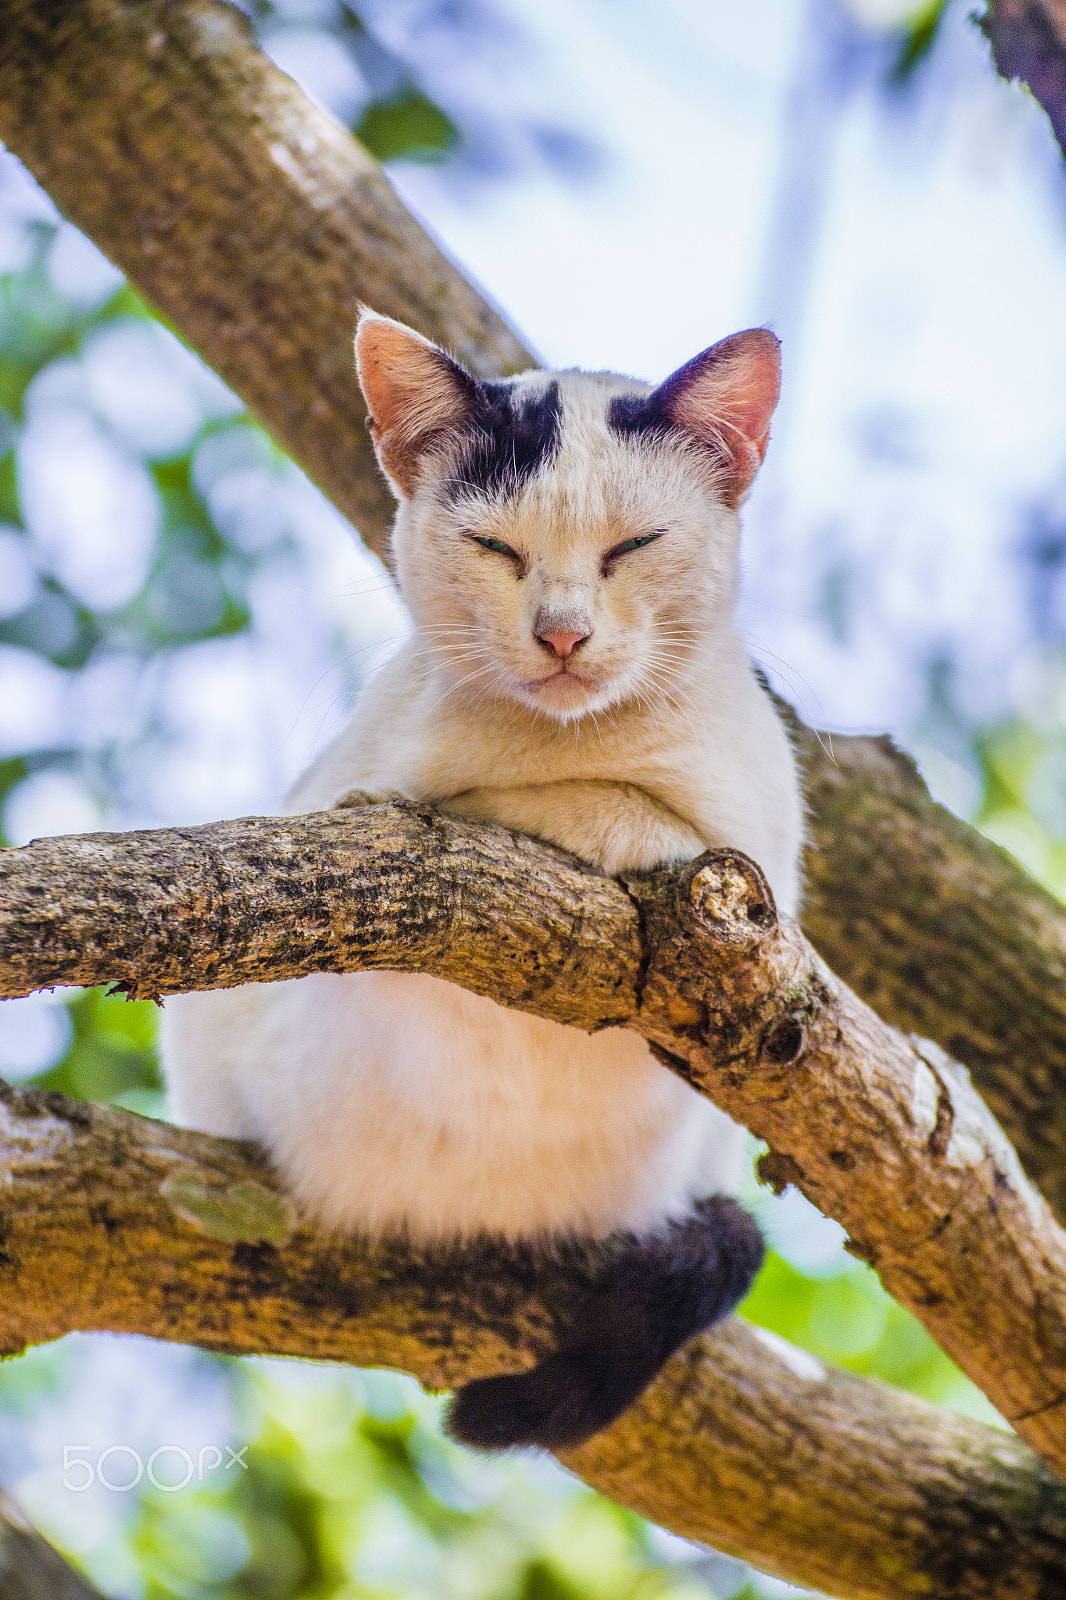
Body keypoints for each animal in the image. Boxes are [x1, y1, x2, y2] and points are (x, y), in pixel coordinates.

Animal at [161, 312, 800, 1452]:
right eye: (497, 549)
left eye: (632, 547)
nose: (561, 633)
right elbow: (448, 801)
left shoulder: (755, 846)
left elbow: (642, 813)